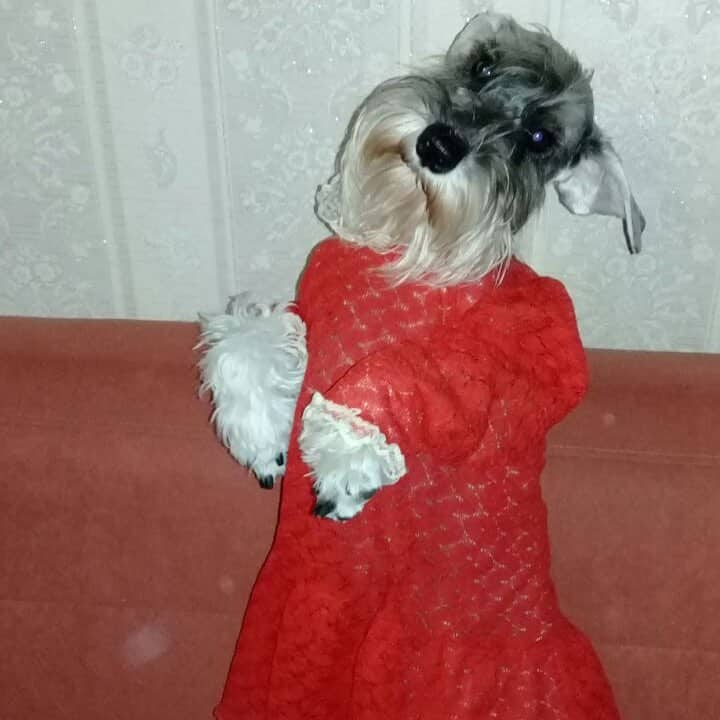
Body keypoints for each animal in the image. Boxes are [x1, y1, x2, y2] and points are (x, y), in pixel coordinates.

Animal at [197, 9, 640, 516]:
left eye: (540, 137)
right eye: (482, 65)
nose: (439, 146)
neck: (408, 233)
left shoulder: (534, 347)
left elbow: (411, 370)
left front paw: (348, 463)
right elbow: (249, 331)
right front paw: (262, 437)